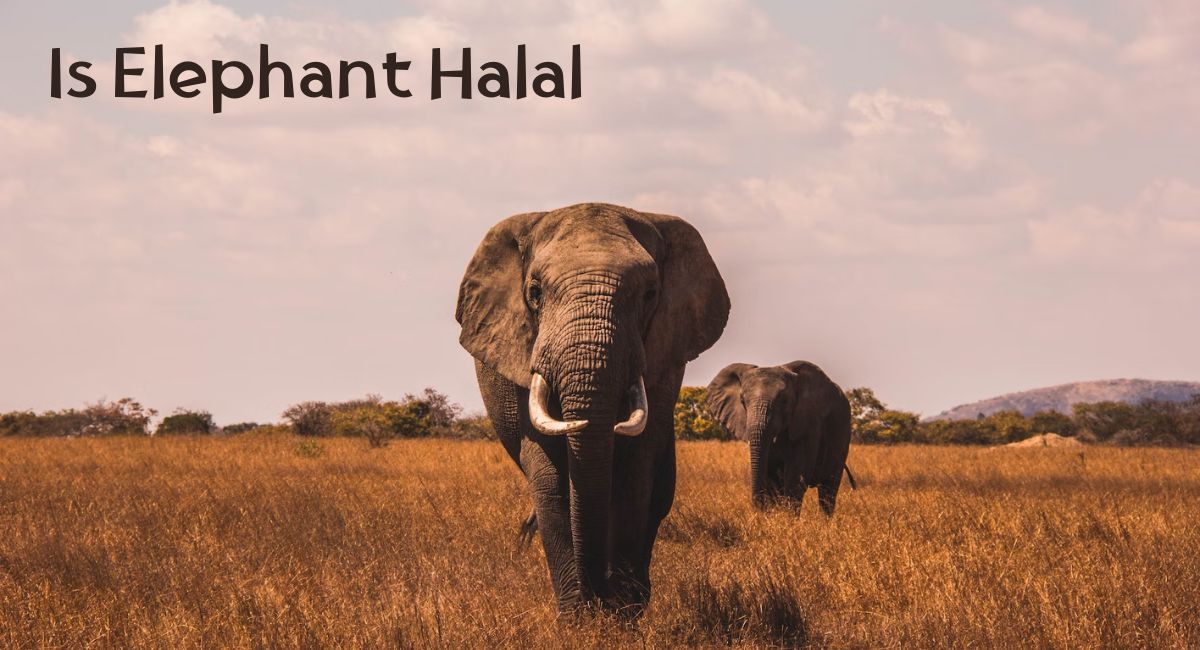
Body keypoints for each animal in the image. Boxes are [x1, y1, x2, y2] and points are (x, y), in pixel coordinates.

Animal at [455, 203, 729, 615]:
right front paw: (578, 616)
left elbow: (636, 474)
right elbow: (551, 479)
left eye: (650, 294)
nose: (597, 596)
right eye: (535, 292)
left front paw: (623, 613)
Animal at [705, 361, 853, 513]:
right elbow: (773, 478)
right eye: (742, 401)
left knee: (828, 489)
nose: (758, 508)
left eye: (784, 401)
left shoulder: (809, 422)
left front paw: (788, 518)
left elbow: (796, 476)